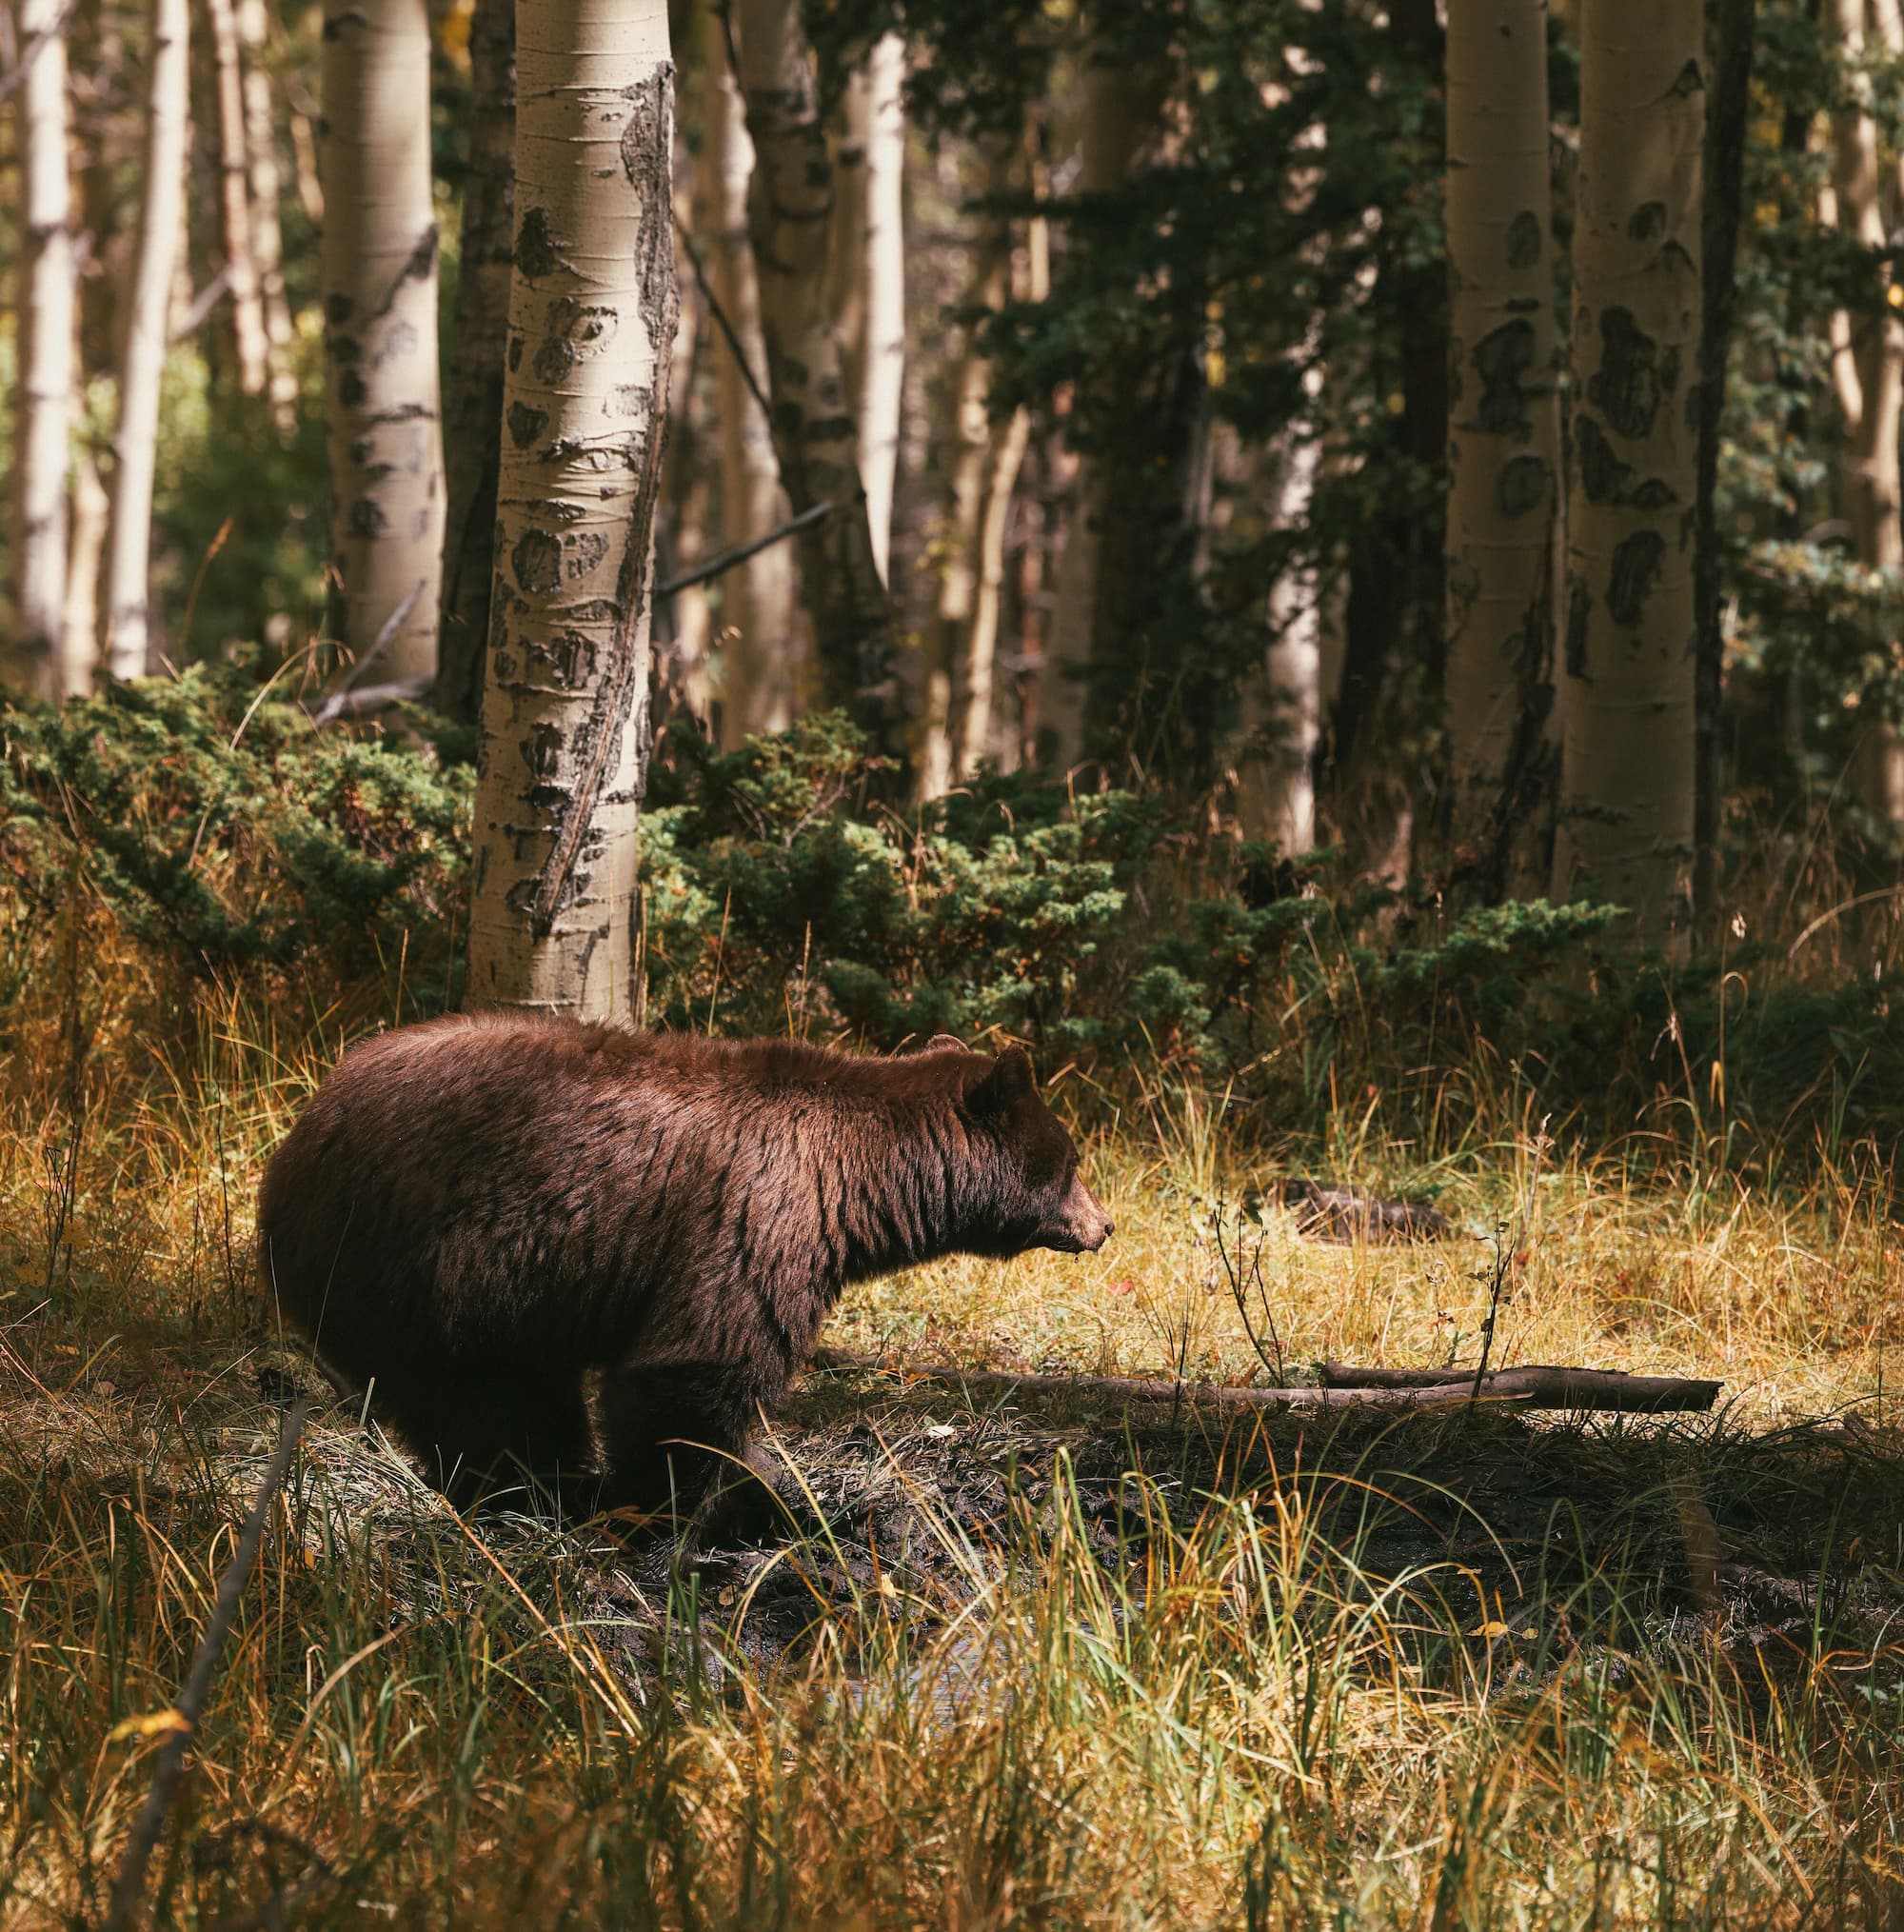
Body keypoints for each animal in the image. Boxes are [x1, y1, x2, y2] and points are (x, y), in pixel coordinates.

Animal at [256, 1015, 1113, 1528]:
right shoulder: (756, 1222)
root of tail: (300, 1137)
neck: (853, 1182)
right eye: (1072, 1159)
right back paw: (533, 1489)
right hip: (422, 1273)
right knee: (484, 1404)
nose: (1105, 1225)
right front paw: (728, 1497)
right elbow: (697, 1368)